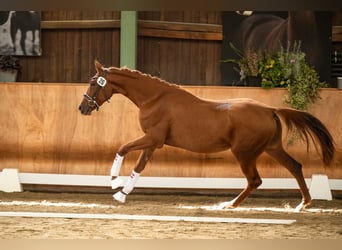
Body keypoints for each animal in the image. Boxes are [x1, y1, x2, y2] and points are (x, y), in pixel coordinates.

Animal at [79, 60, 334, 211]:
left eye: (93, 82)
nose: (82, 108)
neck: (155, 98)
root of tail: (269, 109)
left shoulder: (153, 138)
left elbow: (122, 148)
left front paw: (115, 182)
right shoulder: (154, 142)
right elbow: (139, 166)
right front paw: (122, 194)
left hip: (244, 152)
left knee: (255, 180)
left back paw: (229, 205)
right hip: (272, 148)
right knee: (295, 167)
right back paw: (303, 204)